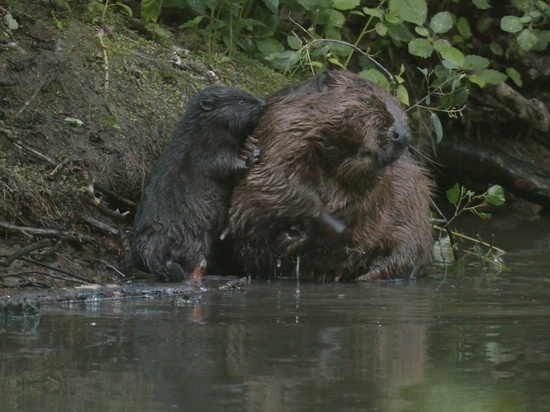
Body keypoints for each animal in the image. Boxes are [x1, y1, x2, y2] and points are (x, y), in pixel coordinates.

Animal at [130, 85, 266, 282]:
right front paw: (252, 157)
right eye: (241, 101)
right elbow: (222, 164)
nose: (264, 103)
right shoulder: (205, 150)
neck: (200, 129)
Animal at [226, 71, 434, 284]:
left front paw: (294, 239)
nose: (402, 136)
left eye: (403, 113)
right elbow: (275, 180)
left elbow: (356, 208)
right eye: (367, 102)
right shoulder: (285, 129)